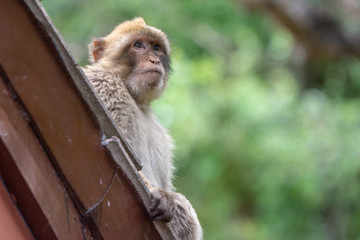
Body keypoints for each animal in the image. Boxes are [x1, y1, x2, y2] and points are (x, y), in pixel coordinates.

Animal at [83, 17, 204, 239]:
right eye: (138, 45)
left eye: (156, 48)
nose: (154, 60)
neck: (135, 98)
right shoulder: (104, 86)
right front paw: (164, 198)